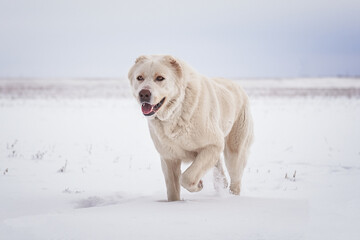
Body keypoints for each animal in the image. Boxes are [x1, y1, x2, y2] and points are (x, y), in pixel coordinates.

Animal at [128, 55, 255, 201]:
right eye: (139, 78)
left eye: (160, 78)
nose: (144, 94)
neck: (177, 110)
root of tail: (237, 85)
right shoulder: (169, 157)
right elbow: (172, 190)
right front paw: (175, 202)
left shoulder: (213, 144)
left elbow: (187, 178)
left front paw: (198, 185)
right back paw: (221, 185)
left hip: (235, 151)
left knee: (235, 178)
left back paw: (233, 196)